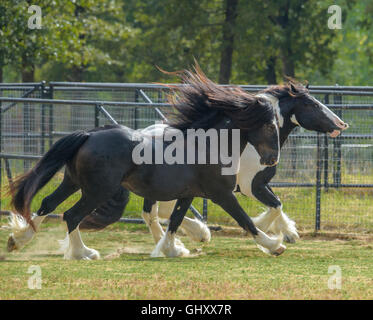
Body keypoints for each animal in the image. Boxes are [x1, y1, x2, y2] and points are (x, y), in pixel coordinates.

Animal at [7, 66, 284, 258]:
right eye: (271, 126)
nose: (272, 160)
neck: (208, 145)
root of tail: (89, 134)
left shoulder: (189, 194)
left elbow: (175, 221)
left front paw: (172, 249)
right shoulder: (221, 194)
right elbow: (245, 220)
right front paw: (274, 245)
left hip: (73, 182)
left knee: (48, 203)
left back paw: (18, 240)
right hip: (97, 190)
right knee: (71, 215)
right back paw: (84, 253)